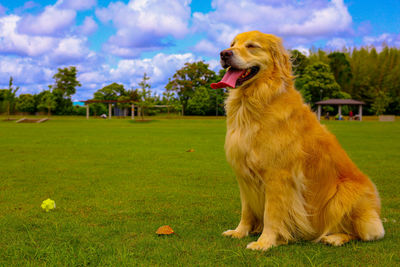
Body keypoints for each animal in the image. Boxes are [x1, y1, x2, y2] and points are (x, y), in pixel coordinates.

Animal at [211, 30, 386, 251]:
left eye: (251, 46)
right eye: (232, 44)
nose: (224, 53)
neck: (256, 99)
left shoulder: (278, 176)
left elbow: (271, 214)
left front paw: (264, 242)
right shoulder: (244, 175)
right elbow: (246, 209)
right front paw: (239, 232)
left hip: (345, 193)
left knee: (366, 233)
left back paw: (335, 238)